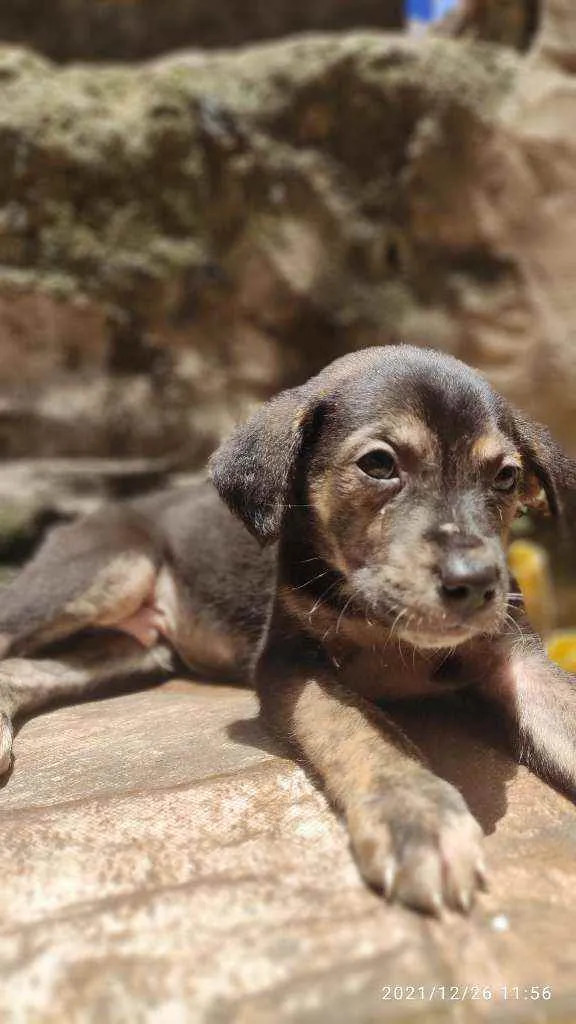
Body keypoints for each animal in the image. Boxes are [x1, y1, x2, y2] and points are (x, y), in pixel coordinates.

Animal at [1, 346, 573, 913]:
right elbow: (358, 727)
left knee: (25, 669)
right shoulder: (290, 662)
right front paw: (417, 815)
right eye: (379, 464)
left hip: (135, 650)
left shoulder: (516, 654)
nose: (475, 584)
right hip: (110, 568)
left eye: (505, 477)